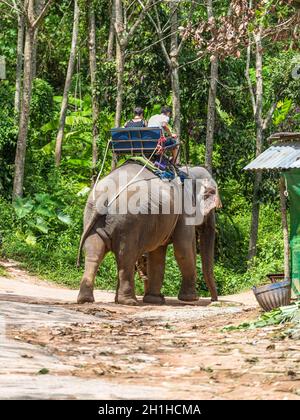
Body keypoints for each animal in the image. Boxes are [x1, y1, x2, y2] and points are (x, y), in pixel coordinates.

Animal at [76, 162, 219, 306]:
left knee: (94, 253)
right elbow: (183, 249)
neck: (186, 171)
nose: (214, 300)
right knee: (126, 256)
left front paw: (155, 300)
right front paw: (191, 299)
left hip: (91, 214)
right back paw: (129, 301)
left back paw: (86, 299)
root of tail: (105, 195)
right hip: (128, 222)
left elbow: (157, 255)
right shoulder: (184, 212)